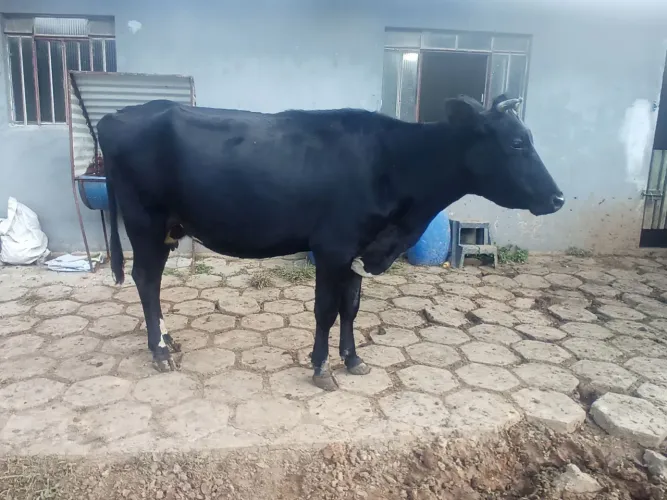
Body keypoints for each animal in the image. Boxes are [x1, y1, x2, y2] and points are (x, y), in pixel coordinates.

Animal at [97, 93, 564, 391]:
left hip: (166, 228)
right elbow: (325, 310)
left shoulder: (359, 250)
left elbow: (351, 307)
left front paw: (353, 359)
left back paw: (168, 339)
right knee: (145, 278)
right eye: (517, 143)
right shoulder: (332, 247)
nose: (558, 198)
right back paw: (159, 350)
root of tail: (117, 117)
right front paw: (321, 368)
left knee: (154, 281)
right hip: (144, 222)